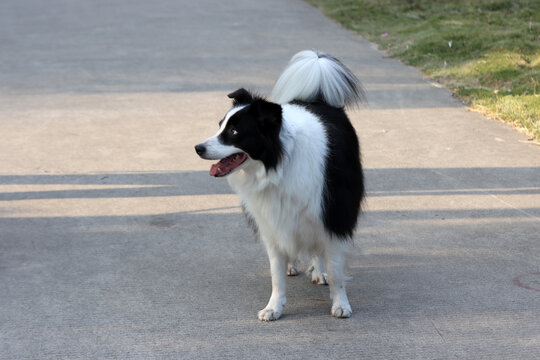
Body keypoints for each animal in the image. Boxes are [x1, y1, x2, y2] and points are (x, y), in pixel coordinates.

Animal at [194, 50, 362, 320]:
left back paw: (318, 270)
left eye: (234, 131)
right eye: (220, 125)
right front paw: (274, 307)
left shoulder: (333, 214)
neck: (278, 163)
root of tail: (315, 97)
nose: (197, 148)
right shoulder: (271, 220)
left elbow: (336, 270)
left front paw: (340, 304)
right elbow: (276, 274)